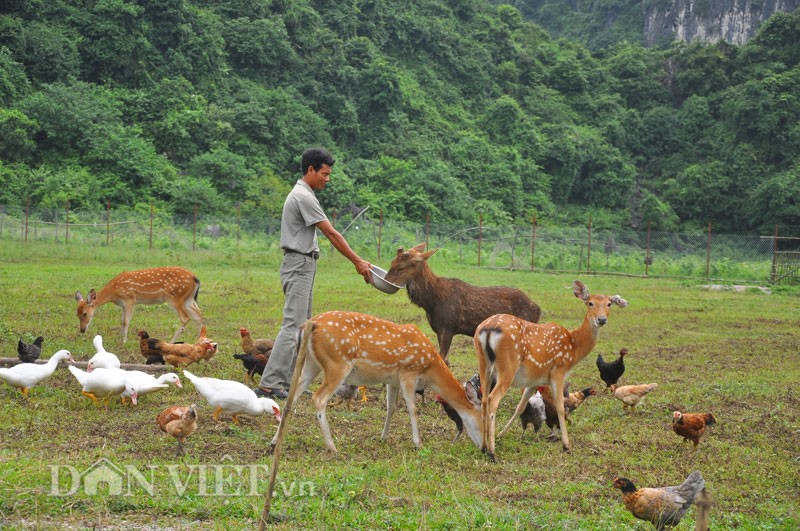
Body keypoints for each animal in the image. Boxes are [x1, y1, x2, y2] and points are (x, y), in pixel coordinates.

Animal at [74, 266, 202, 344]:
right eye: (77, 314)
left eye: (85, 314)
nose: (82, 330)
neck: (114, 292)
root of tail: (195, 278)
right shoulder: (123, 305)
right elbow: (122, 321)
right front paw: (120, 339)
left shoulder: (130, 299)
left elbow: (126, 321)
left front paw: (124, 341)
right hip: (188, 300)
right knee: (199, 315)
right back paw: (199, 342)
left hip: (175, 297)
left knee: (185, 317)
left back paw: (170, 342)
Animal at [268, 312, 482, 454]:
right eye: (483, 422)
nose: (485, 448)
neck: (429, 367)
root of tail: (308, 326)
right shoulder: (408, 372)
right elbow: (412, 408)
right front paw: (418, 443)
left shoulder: (392, 380)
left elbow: (391, 407)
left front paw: (383, 437)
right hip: (338, 362)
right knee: (318, 397)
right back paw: (332, 446)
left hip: (311, 364)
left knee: (293, 395)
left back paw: (274, 442)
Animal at [384, 244, 540, 362]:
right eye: (392, 262)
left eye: (401, 267)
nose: (386, 280)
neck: (431, 303)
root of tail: (538, 309)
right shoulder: (439, 330)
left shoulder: (448, 327)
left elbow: (442, 359)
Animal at [472, 280, 628, 460]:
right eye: (590, 303)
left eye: (609, 304)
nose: (601, 319)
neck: (574, 349)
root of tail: (488, 328)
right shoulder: (558, 372)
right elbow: (560, 407)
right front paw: (567, 446)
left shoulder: (535, 380)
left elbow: (520, 407)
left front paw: (500, 434)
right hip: (507, 367)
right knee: (492, 399)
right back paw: (492, 452)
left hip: (483, 365)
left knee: (484, 400)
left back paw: (484, 446)